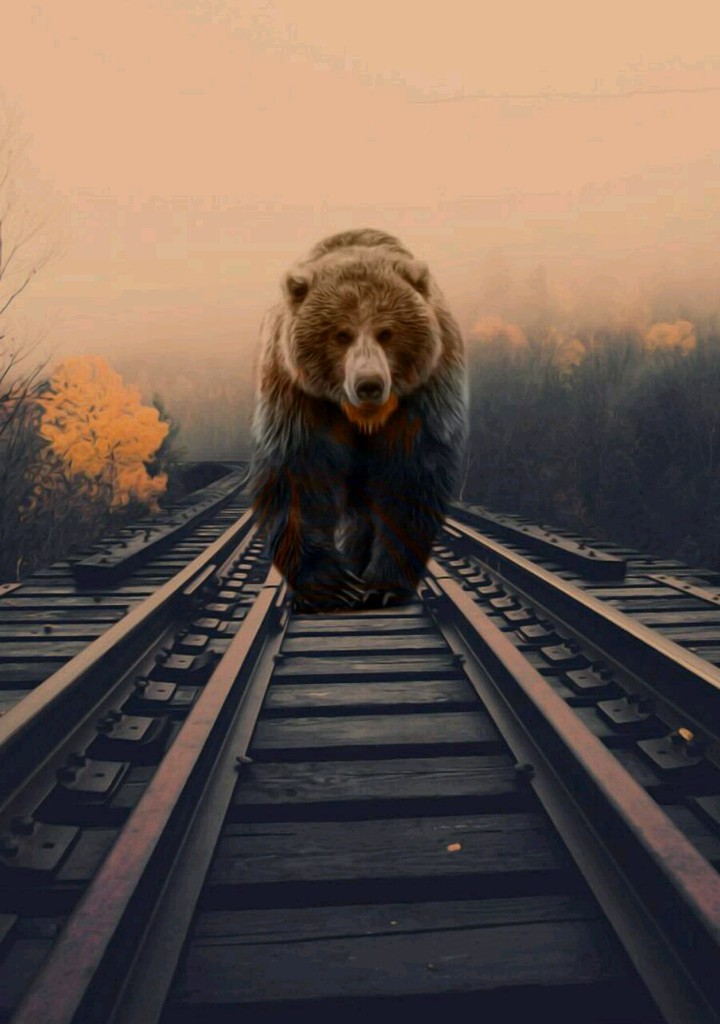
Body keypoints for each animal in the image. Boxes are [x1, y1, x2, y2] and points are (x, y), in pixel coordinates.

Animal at [249, 228, 468, 611]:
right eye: (341, 334)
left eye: (387, 332)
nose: (369, 384)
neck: (363, 418)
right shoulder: (298, 396)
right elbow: (300, 476)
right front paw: (330, 586)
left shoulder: (423, 396)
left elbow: (408, 478)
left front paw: (382, 585)